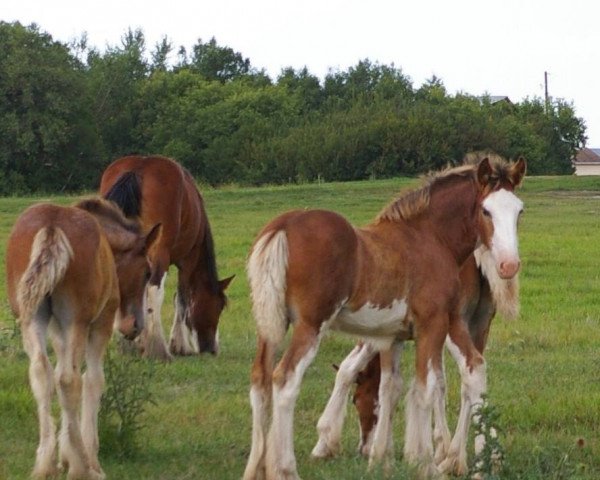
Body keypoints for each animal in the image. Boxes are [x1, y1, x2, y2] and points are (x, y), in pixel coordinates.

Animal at [5, 198, 159, 480]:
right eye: (147, 272)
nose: (135, 326)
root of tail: (52, 226)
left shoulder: (57, 330)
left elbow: (56, 372)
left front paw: (63, 456)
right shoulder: (101, 323)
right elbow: (93, 380)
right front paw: (89, 458)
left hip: (32, 318)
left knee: (42, 373)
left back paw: (44, 465)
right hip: (77, 320)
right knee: (70, 380)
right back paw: (82, 467)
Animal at [99, 154, 233, 360]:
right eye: (219, 307)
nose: (211, 348)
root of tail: (139, 168)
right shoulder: (187, 262)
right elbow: (182, 299)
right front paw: (179, 345)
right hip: (158, 253)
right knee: (155, 290)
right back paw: (157, 348)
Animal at [241, 158, 524, 480]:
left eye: (519, 210)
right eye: (486, 210)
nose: (509, 264)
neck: (430, 237)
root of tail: (282, 226)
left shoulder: (392, 336)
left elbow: (392, 387)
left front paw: (382, 460)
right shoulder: (434, 323)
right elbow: (429, 387)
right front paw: (428, 463)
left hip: (270, 324)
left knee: (260, 380)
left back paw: (255, 467)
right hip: (310, 325)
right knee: (285, 380)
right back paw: (285, 469)